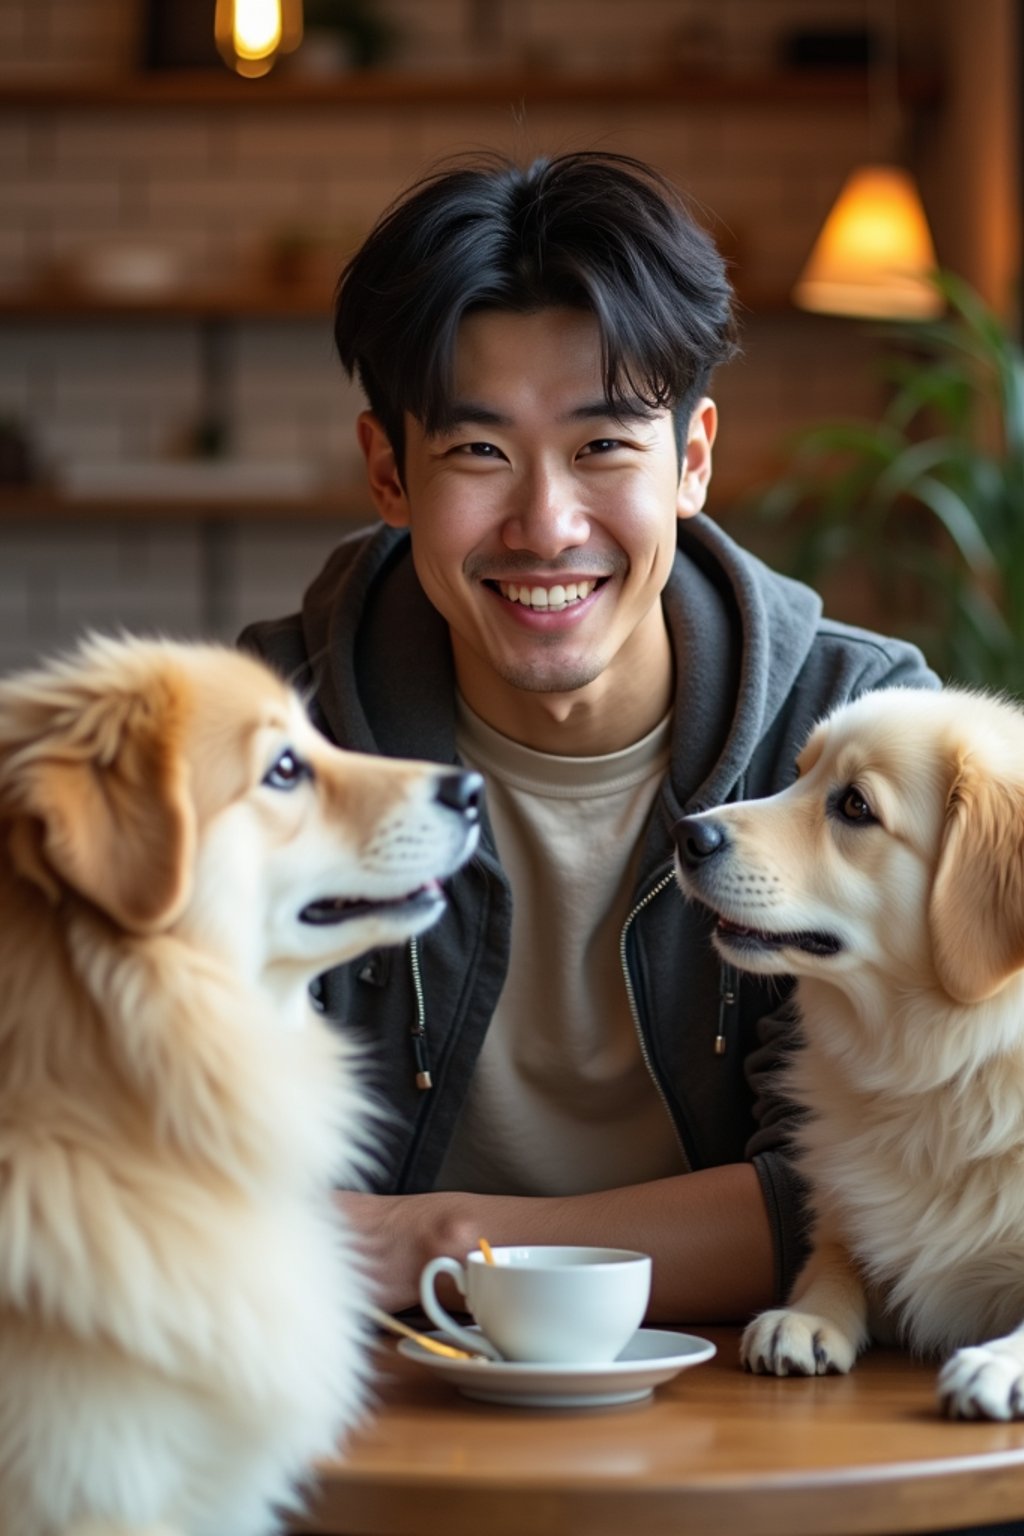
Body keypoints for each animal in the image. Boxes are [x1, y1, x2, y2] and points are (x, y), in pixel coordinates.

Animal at [675, 691, 1024, 1419]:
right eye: (799, 773)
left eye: (857, 806)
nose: (687, 836)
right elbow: (836, 1255)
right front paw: (805, 1317)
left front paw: (999, 1363)